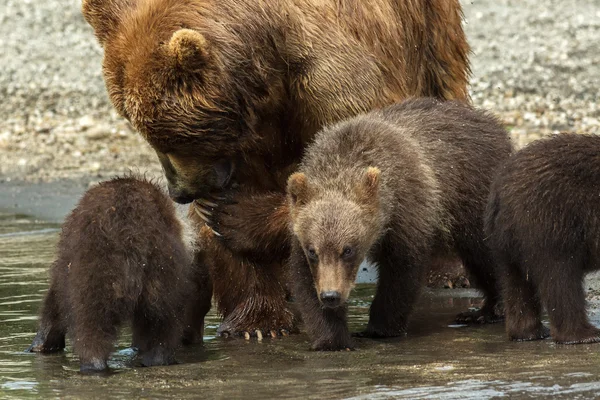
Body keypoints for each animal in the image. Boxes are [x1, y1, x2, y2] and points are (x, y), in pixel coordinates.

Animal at [82, 0, 472, 338]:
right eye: (142, 130)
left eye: (173, 139)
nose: (181, 193)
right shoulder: (241, 145)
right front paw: (256, 321)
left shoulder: (330, 79)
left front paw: (237, 214)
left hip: (429, 33)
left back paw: (446, 270)